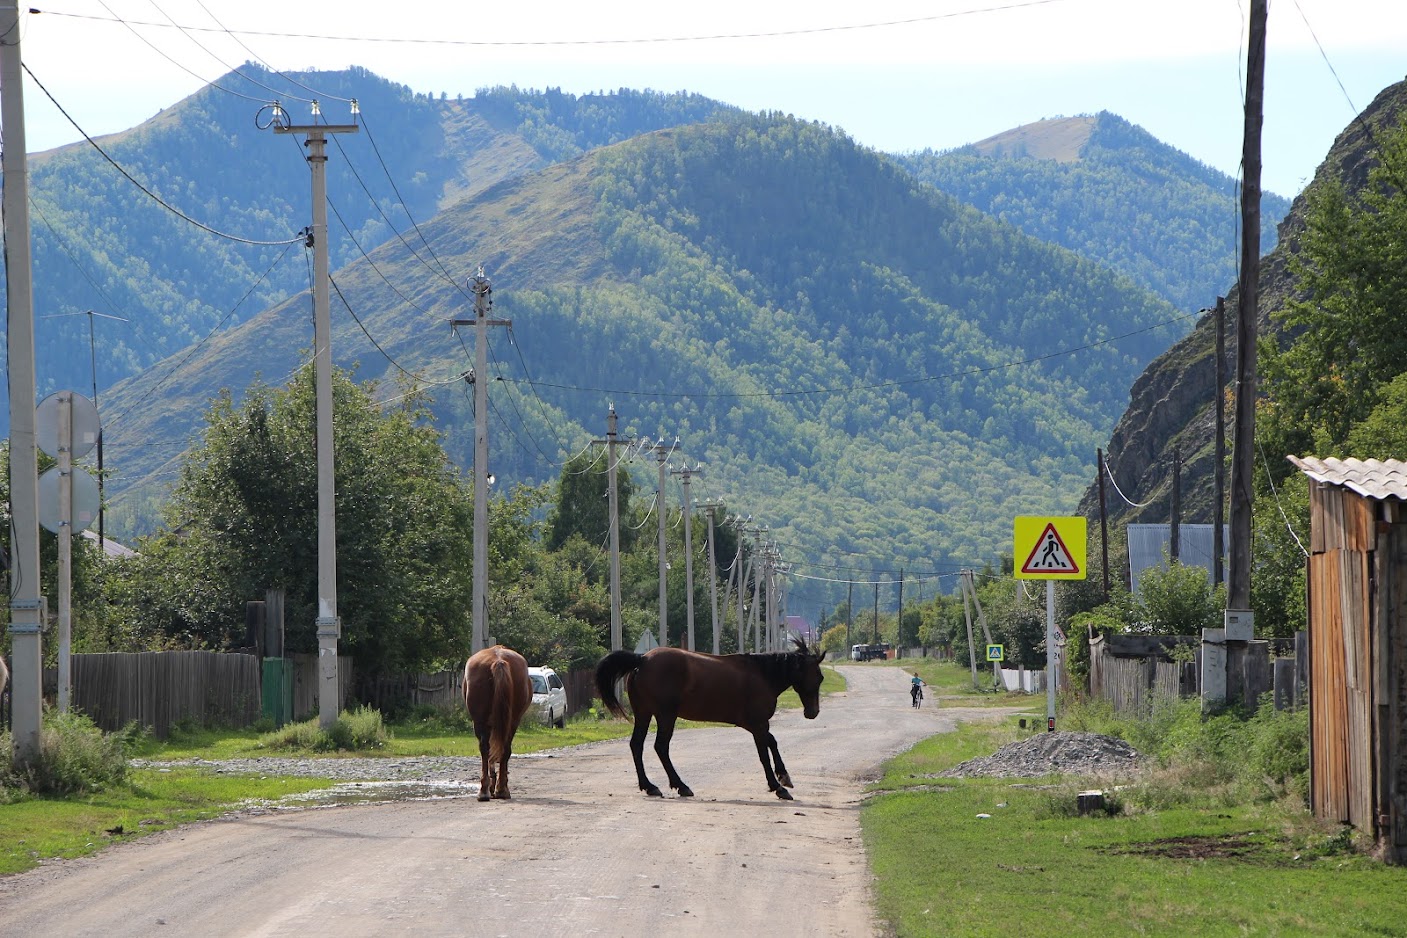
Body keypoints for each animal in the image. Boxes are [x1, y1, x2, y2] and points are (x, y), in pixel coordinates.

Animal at [461, 649, 531, 804]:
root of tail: (498, 660)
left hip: (481, 722)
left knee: (486, 749)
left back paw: (487, 791)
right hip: (512, 721)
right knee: (504, 749)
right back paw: (500, 790)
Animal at [593, 641, 821, 804]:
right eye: (818, 677)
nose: (813, 712)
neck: (761, 674)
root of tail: (642, 660)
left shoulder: (753, 724)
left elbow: (772, 742)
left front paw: (784, 776)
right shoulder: (758, 724)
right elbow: (764, 754)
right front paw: (777, 786)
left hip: (644, 714)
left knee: (637, 745)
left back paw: (650, 786)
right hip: (665, 715)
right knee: (661, 747)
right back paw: (680, 785)